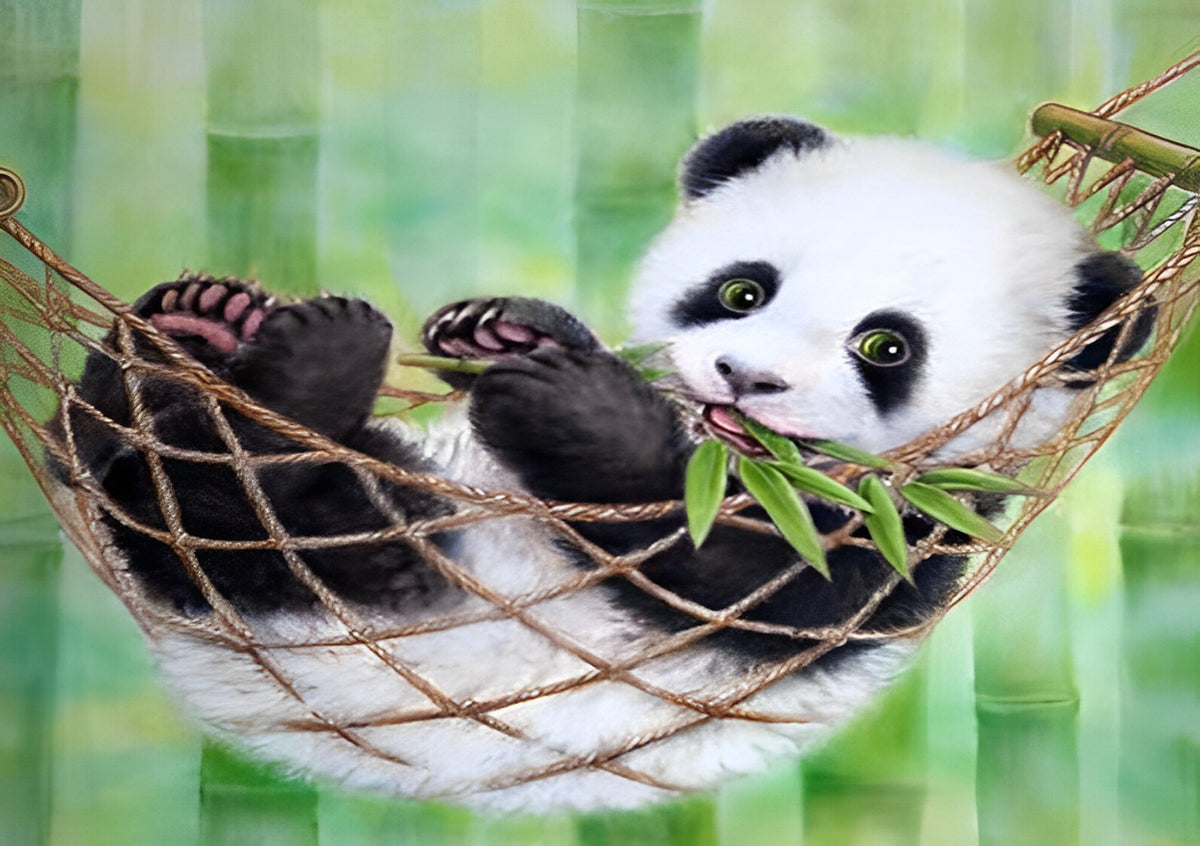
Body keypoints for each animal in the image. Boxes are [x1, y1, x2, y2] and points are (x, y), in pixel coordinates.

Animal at [55, 117, 1144, 812]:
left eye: (885, 346)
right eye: (742, 290)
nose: (744, 379)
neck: (727, 457)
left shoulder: (902, 537)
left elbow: (733, 580)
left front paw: (572, 407)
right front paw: (507, 331)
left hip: (363, 576)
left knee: (239, 515)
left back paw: (299, 379)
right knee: (112, 459)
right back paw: (192, 331)